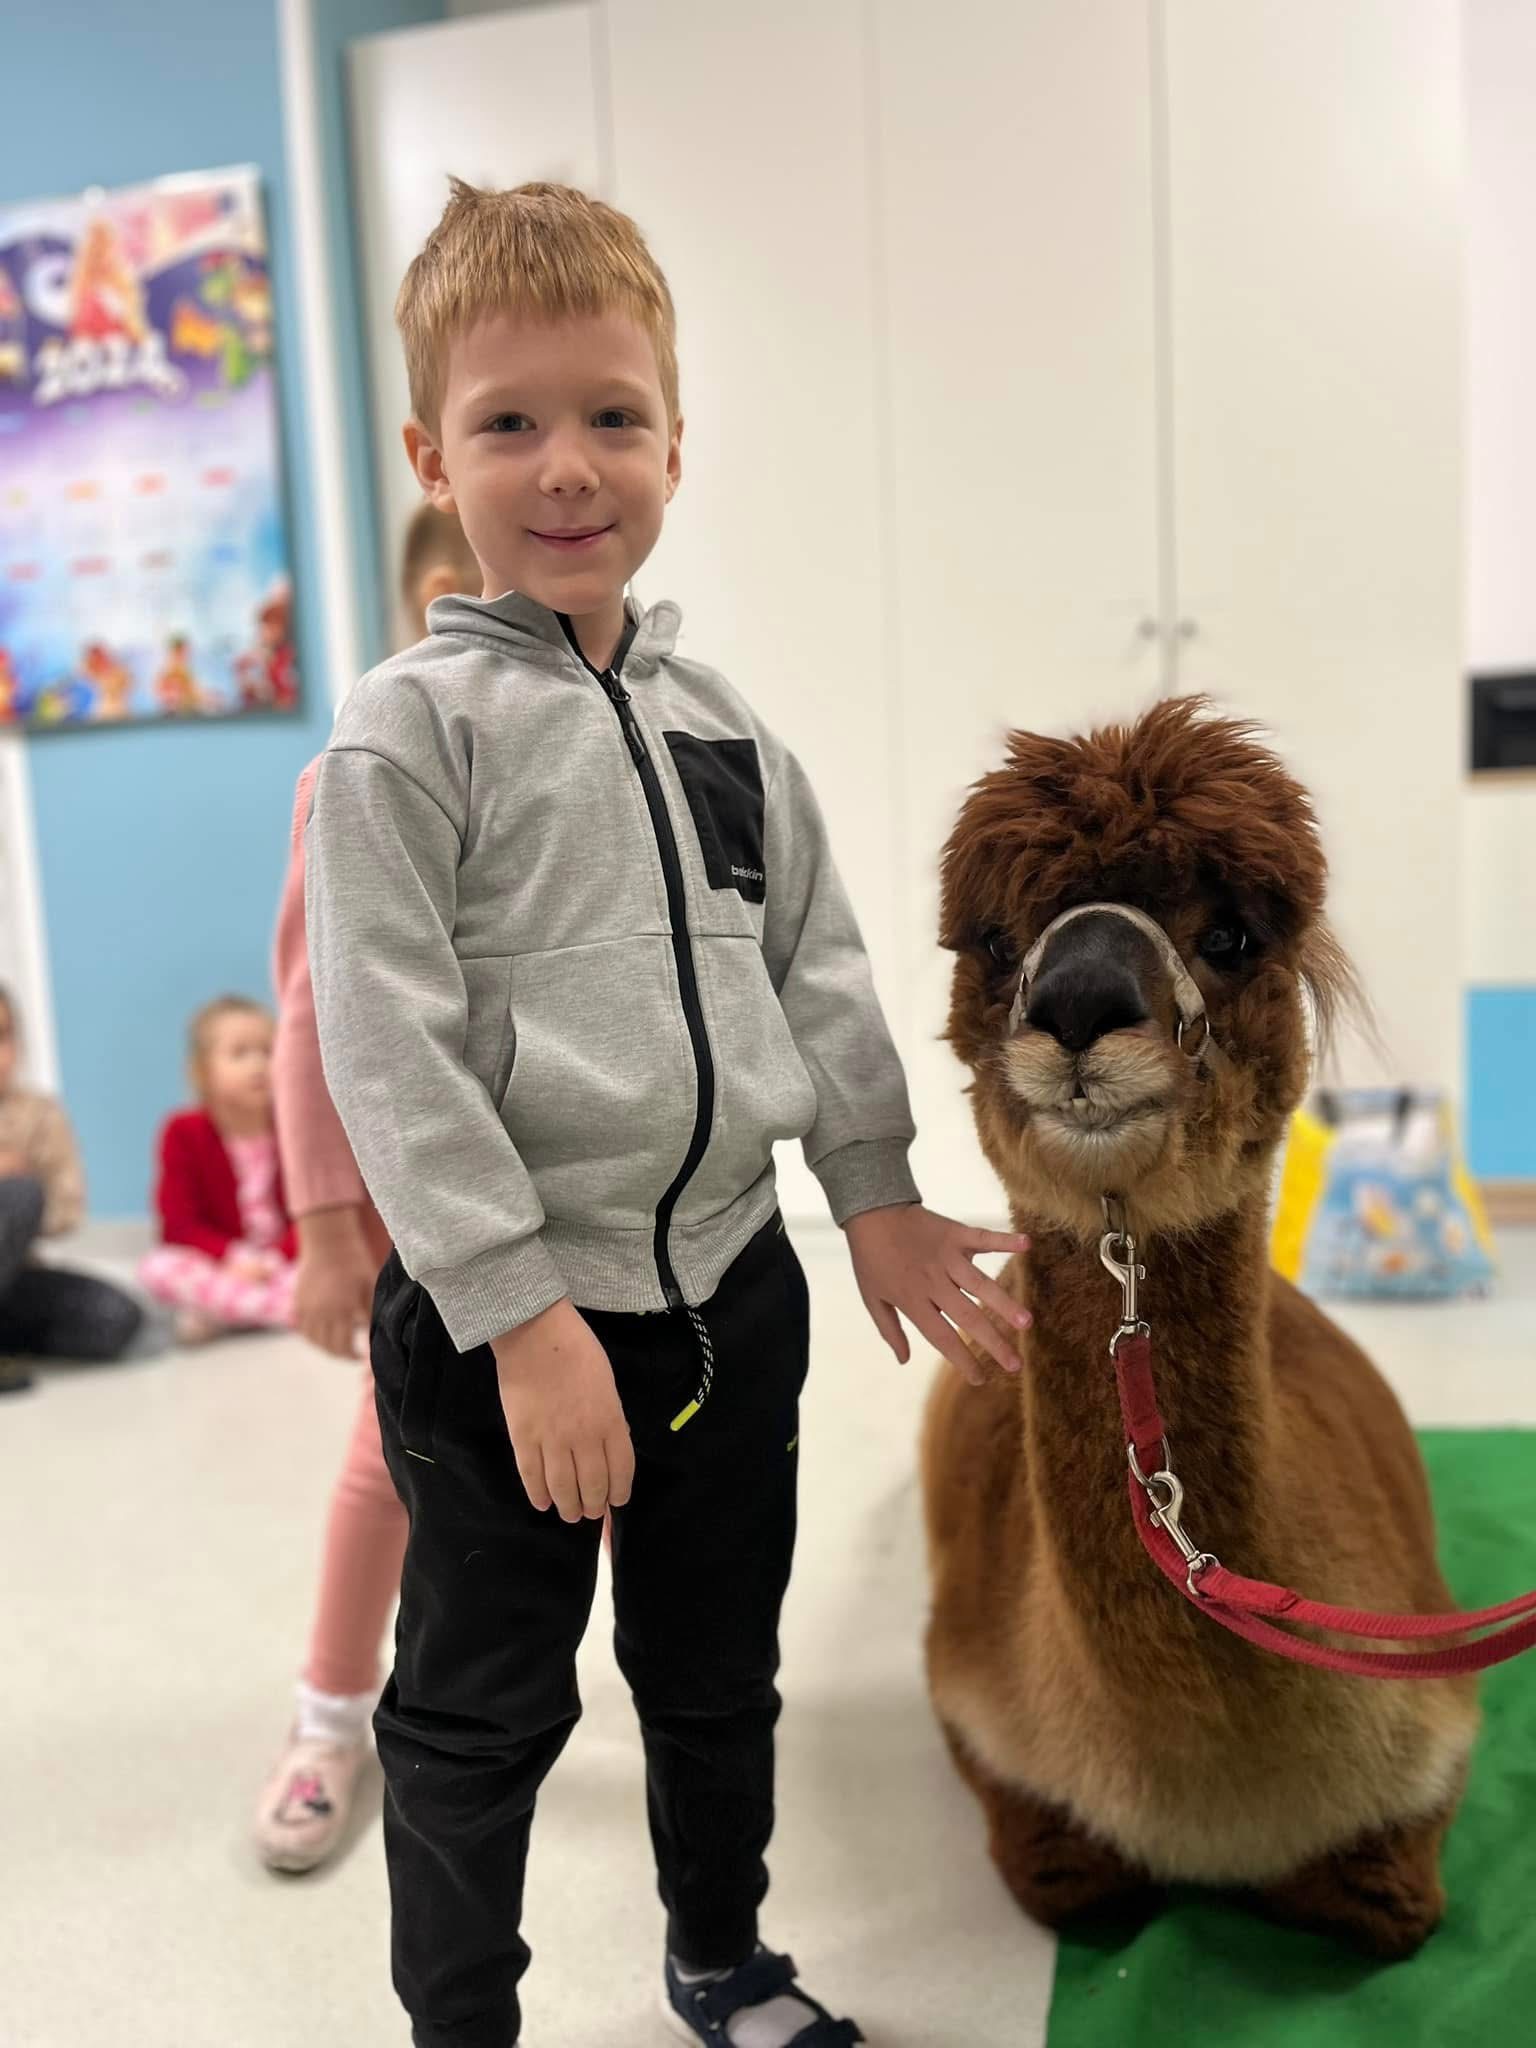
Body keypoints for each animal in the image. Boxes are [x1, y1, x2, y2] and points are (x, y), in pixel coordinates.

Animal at [921, 697, 1479, 1959]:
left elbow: (1392, 1907)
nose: (1078, 1002)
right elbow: (1073, 1880)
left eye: (1229, 934)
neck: (1210, 1790)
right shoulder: (980, 1714)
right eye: (995, 940)